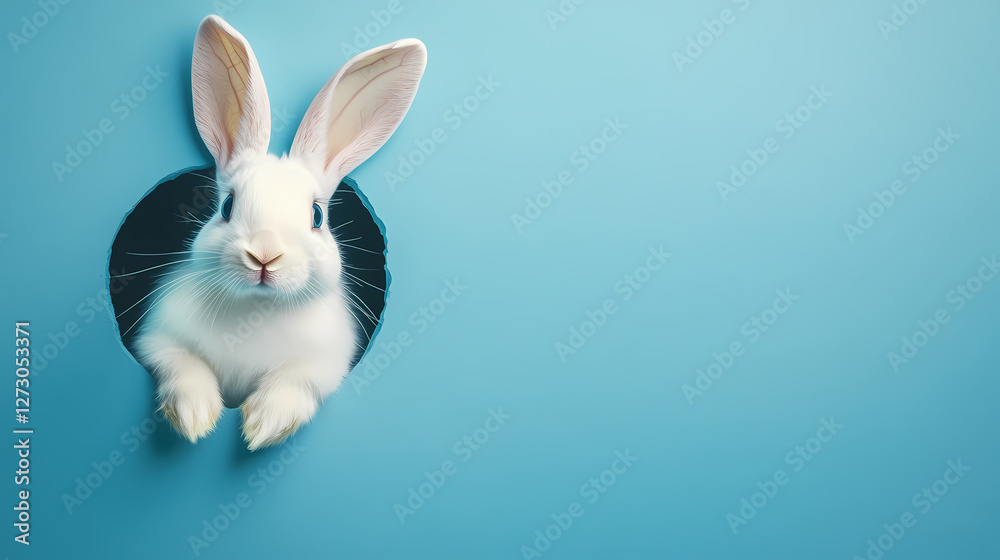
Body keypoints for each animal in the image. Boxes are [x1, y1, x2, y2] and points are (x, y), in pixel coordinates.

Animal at [132, 14, 426, 450]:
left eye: (317, 216)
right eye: (227, 206)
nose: (265, 255)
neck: (259, 310)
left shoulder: (327, 363)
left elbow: (296, 381)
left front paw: (264, 425)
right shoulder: (157, 339)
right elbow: (181, 364)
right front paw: (194, 417)